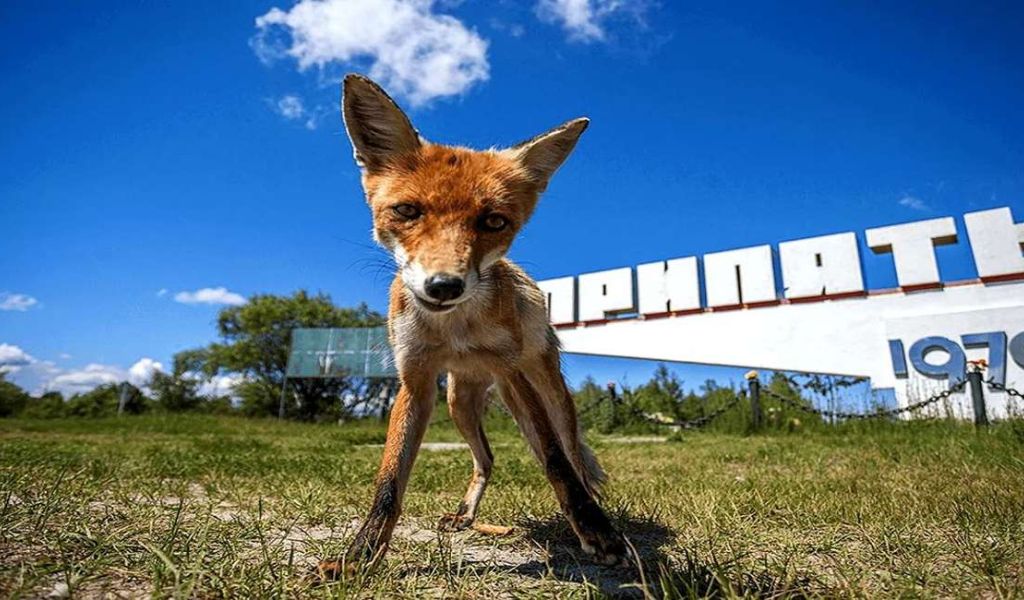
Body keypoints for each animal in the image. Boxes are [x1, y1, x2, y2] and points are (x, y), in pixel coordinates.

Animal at [317, 73, 622, 573]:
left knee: (571, 452)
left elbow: (555, 461)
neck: (455, 331)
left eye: (494, 221)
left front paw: (595, 529)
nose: (444, 286)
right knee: (487, 459)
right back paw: (466, 515)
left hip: (546, 390)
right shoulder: (415, 381)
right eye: (407, 211)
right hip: (459, 402)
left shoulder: (511, 372)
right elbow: (389, 483)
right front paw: (358, 558)